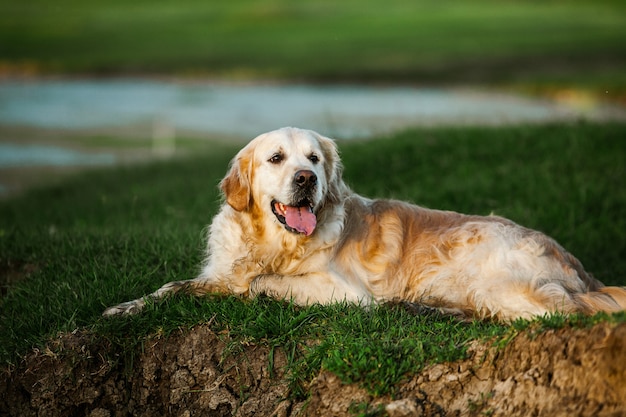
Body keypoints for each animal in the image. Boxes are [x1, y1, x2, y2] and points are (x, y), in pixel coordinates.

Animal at [103, 126, 624, 318]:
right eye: (277, 158)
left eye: (314, 158)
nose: (308, 179)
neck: (276, 243)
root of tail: (579, 266)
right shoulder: (219, 272)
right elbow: (171, 287)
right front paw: (123, 308)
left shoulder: (345, 292)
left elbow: (260, 284)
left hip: (491, 278)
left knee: (560, 315)